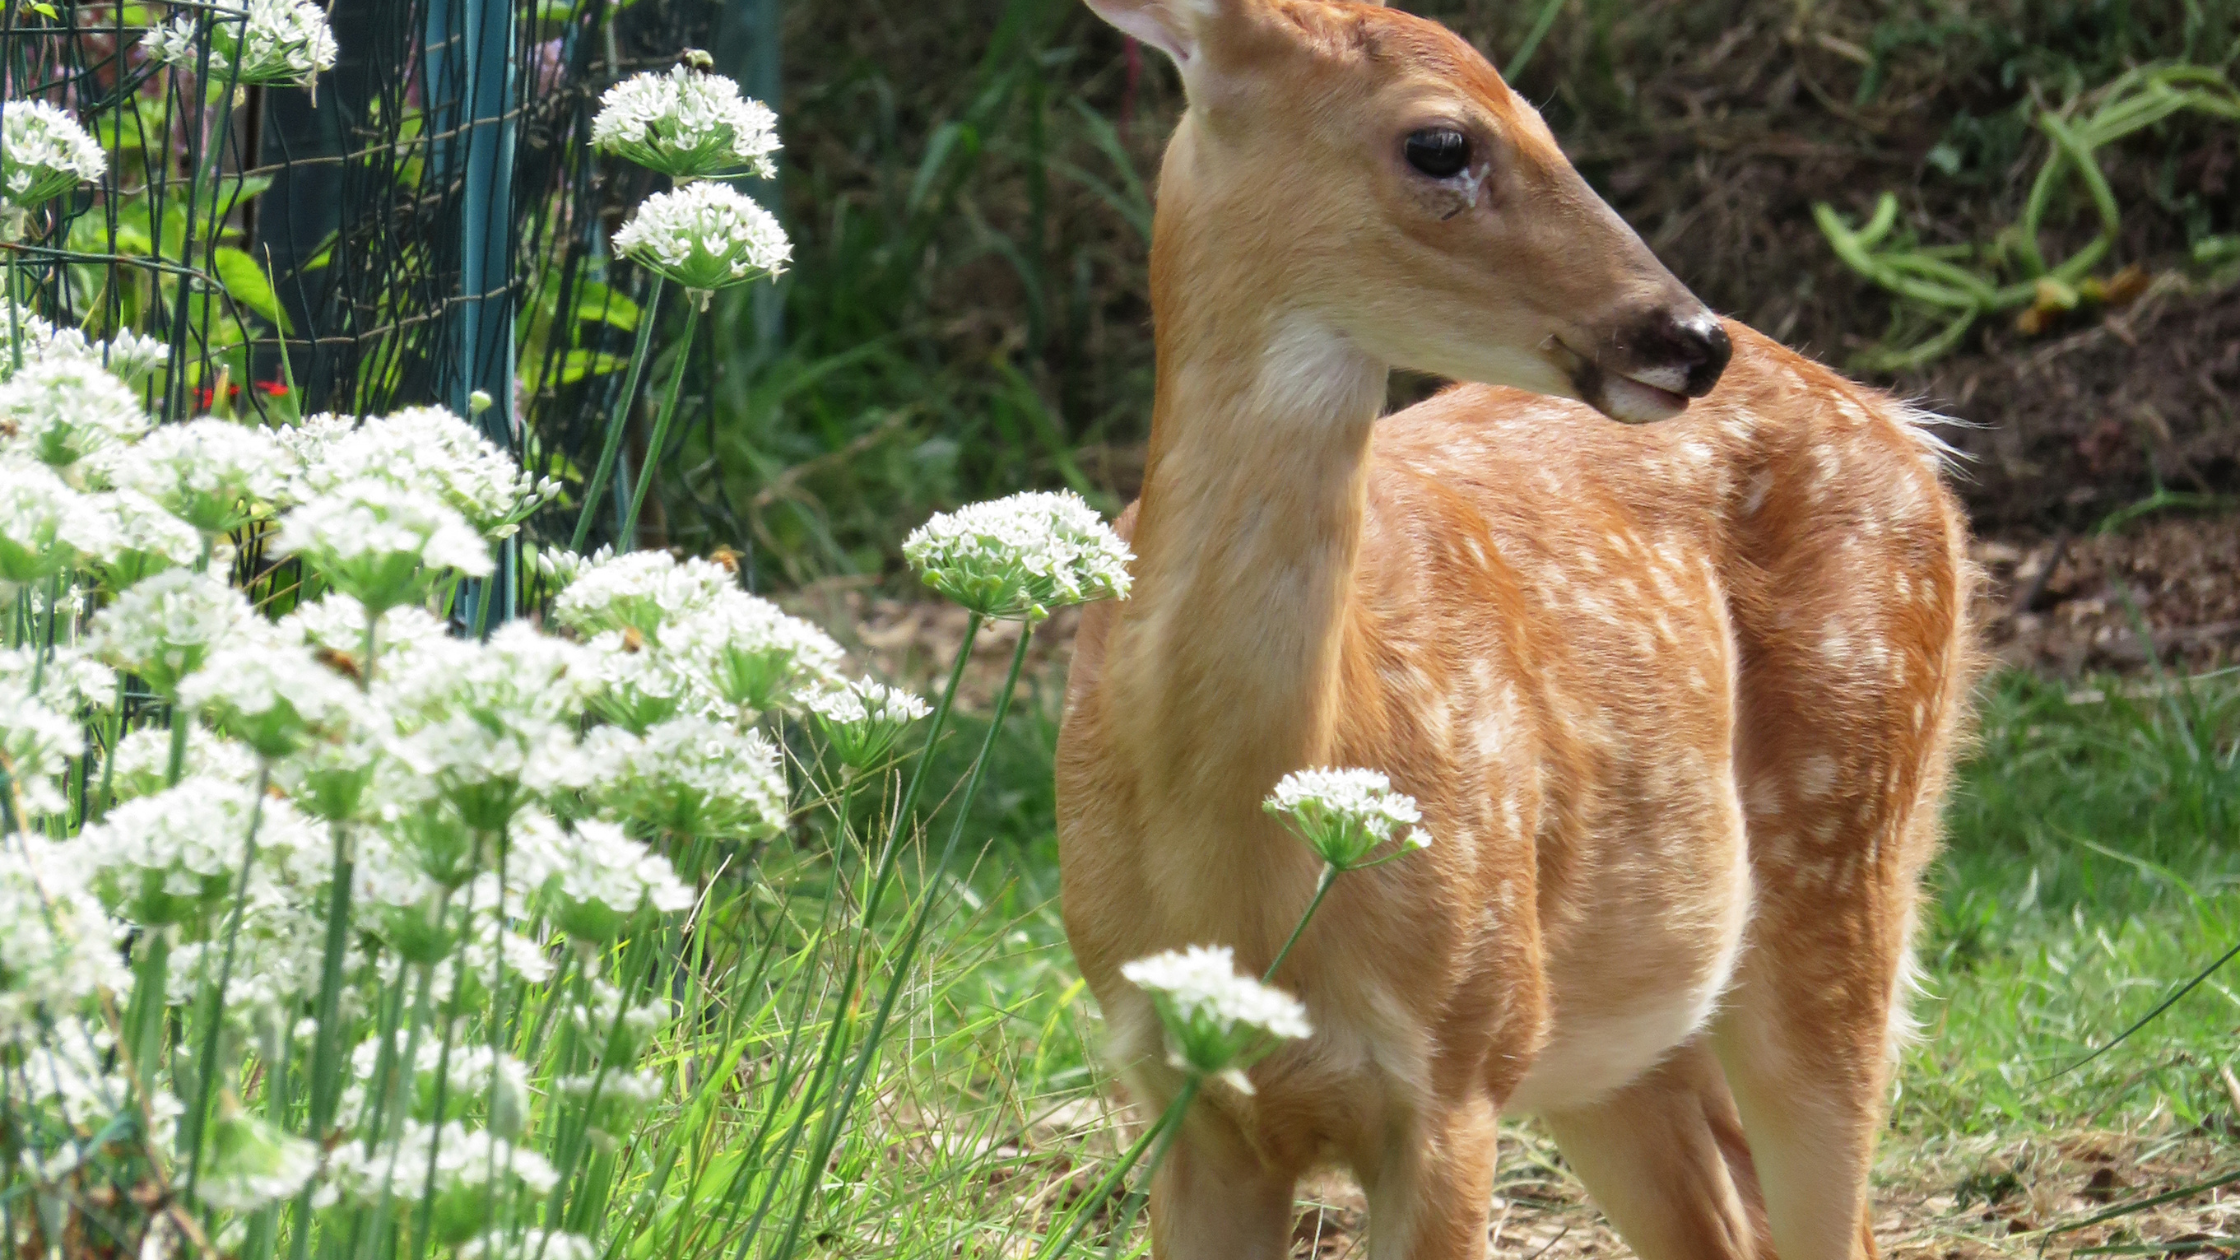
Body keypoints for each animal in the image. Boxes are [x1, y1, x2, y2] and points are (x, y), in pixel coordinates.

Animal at [1052, 2, 1978, 1260]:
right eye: (1441, 143)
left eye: (1538, 114)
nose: (1688, 337)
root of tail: (1903, 429)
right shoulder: (1184, 1097)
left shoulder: (1455, 1067)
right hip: (1614, 1028)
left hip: (1839, 860)